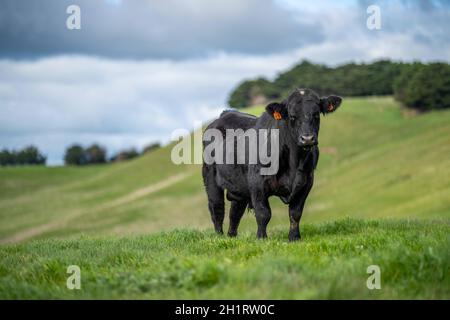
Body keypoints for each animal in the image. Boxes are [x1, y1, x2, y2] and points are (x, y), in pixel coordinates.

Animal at [202, 87, 342, 240]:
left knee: (235, 213)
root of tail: (226, 113)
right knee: (217, 208)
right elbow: (264, 213)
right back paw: (219, 236)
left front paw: (294, 237)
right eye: (292, 116)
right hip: (210, 177)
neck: (294, 163)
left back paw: (231, 236)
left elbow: (295, 212)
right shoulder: (257, 183)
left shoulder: (306, 182)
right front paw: (261, 238)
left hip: (238, 186)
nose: (307, 138)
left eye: (316, 114)